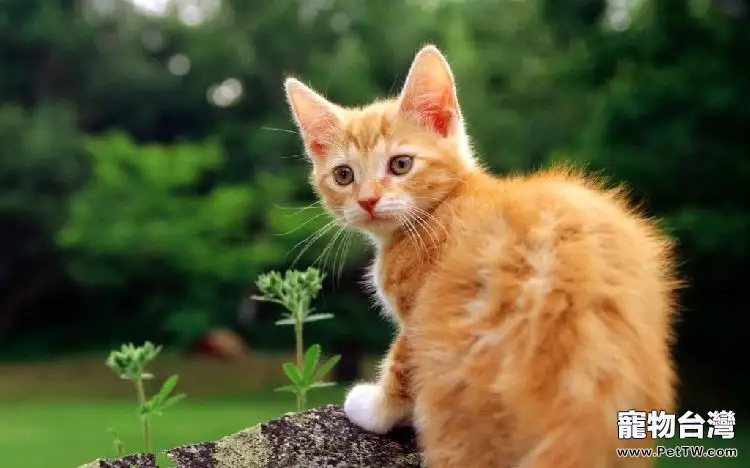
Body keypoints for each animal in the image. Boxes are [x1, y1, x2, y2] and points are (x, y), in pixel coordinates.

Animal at [284, 44, 680, 468]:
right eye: (343, 175)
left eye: (401, 164)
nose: (368, 200)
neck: (440, 208)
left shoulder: (418, 314)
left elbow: (402, 362)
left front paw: (374, 410)